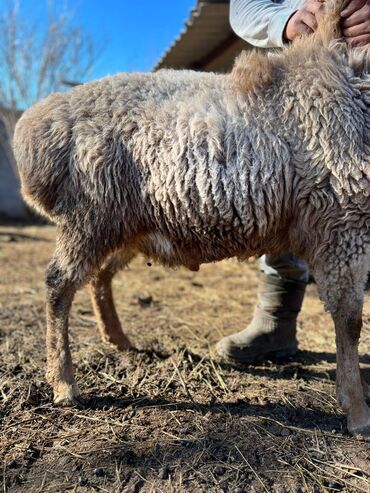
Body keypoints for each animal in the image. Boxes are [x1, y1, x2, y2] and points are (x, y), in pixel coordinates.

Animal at [13, 0, 370, 432]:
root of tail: (37, 123)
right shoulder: (342, 223)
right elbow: (350, 321)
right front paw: (357, 411)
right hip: (90, 215)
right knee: (58, 285)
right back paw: (64, 382)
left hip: (126, 224)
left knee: (99, 276)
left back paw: (118, 340)